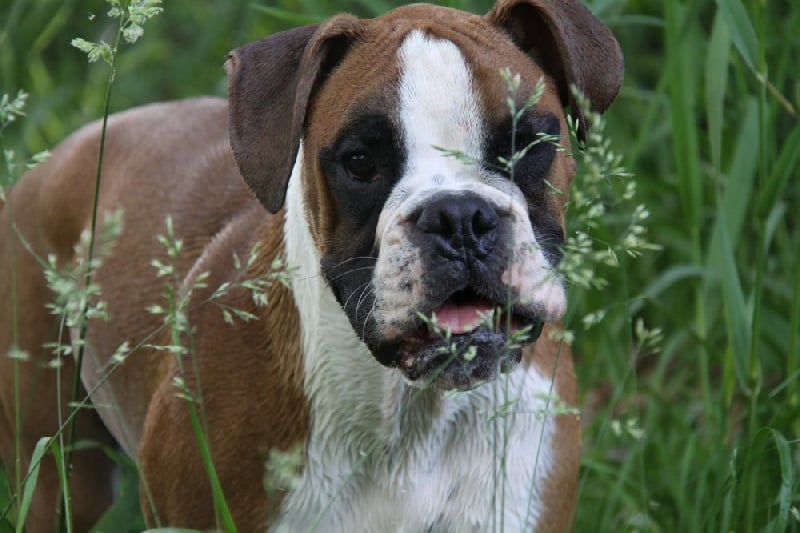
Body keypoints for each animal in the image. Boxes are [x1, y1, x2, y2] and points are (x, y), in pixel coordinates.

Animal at [0, 0, 620, 528]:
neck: (407, 421)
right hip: (58, 475)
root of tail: (70, 145)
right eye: (361, 161)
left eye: (527, 145)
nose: (458, 216)